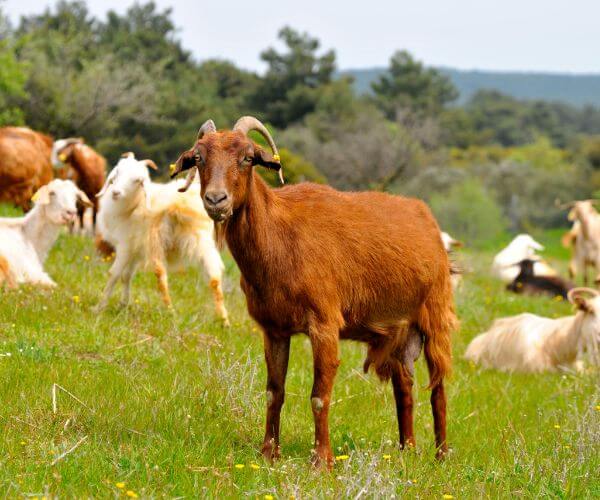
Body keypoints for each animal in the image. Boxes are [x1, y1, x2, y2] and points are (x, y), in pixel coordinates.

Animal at [95, 152, 229, 324]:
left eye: (138, 181)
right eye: (117, 172)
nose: (115, 193)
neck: (135, 204)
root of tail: (178, 205)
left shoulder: (126, 245)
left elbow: (114, 274)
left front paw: (100, 307)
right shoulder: (137, 249)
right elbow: (127, 276)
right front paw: (123, 305)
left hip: (156, 242)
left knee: (161, 277)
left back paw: (170, 311)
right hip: (202, 241)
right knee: (214, 278)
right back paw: (224, 320)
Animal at [173, 117, 460, 468]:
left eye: (247, 158)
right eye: (199, 158)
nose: (216, 200)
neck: (281, 237)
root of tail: (428, 220)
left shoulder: (324, 323)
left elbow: (319, 396)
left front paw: (322, 460)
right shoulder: (274, 329)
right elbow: (274, 392)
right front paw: (269, 452)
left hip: (436, 315)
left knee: (438, 388)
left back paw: (441, 455)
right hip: (401, 331)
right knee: (404, 387)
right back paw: (407, 450)